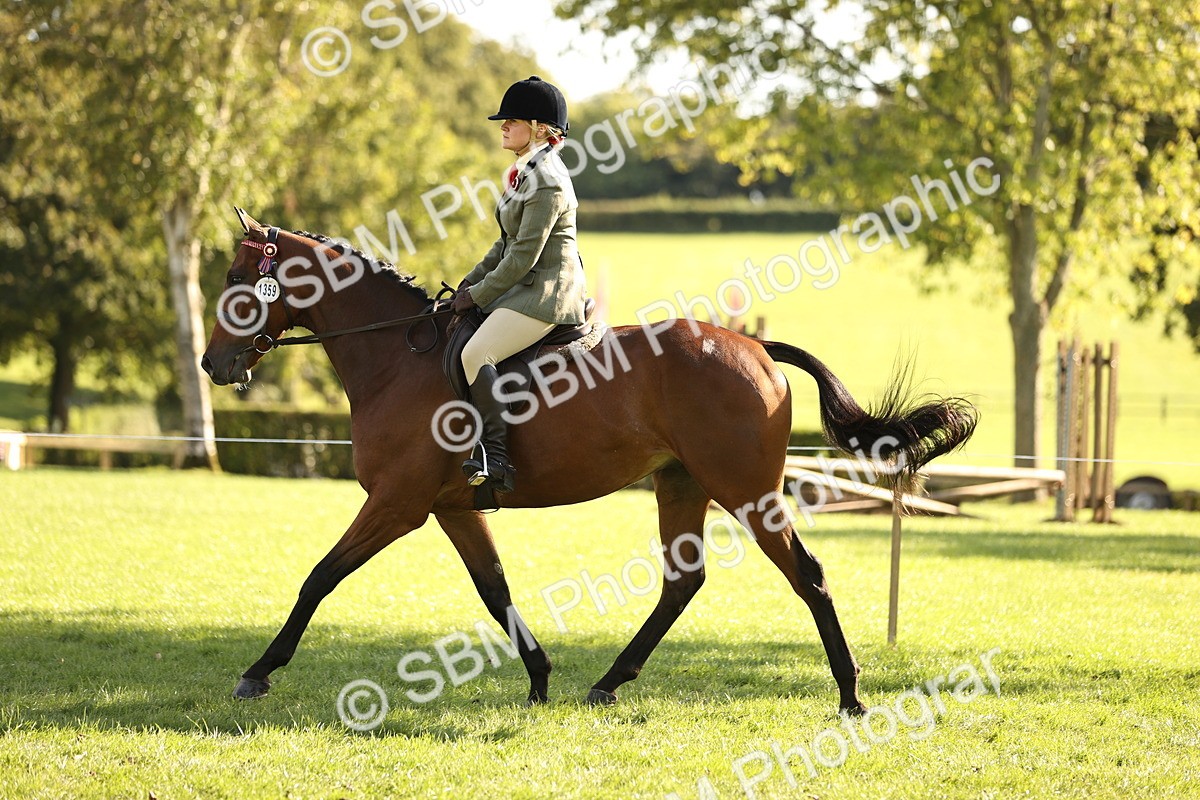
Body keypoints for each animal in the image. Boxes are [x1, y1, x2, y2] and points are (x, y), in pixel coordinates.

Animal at [200, 210, 977, 715]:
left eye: (240, 278)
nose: (214, 364)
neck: (396, 355)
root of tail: (755, 347)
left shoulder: (397, 503)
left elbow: (319, 577)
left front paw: (257, 672)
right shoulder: (449, 507)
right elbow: (494, 589)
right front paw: (540, 677)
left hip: (746, 491)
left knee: (806, 575)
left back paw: (850, 695)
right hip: (681, 484)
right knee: (683, 581)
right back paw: (608, 681)